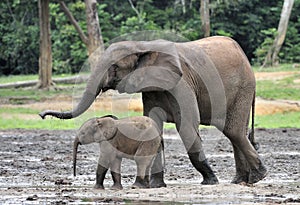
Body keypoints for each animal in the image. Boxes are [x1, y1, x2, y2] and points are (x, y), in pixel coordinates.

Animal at [39, 35, 268, 187]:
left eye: (114, 67)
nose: (42, 115)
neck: (143, 45)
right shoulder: (150, 87)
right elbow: (153, 125)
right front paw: (156, 185)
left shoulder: (181, 83)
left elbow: (186, 127)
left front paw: (210, 182)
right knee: (235, 132)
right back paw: (240, 181)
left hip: (243, 87)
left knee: (233, 131)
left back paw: (258, 177)